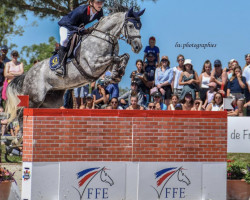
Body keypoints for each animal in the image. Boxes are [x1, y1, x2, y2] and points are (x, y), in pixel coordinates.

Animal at [5, 7, 145, 121]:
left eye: (140, 26)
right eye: (131, 26)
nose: (138, 47)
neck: (104, 37)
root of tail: (27, 74)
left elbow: (123, 57)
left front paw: (116, 74)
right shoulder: (93, 65)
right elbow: (113, 59)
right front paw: (115, 75)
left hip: (50, 101)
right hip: (34, 98)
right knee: (21, 114)